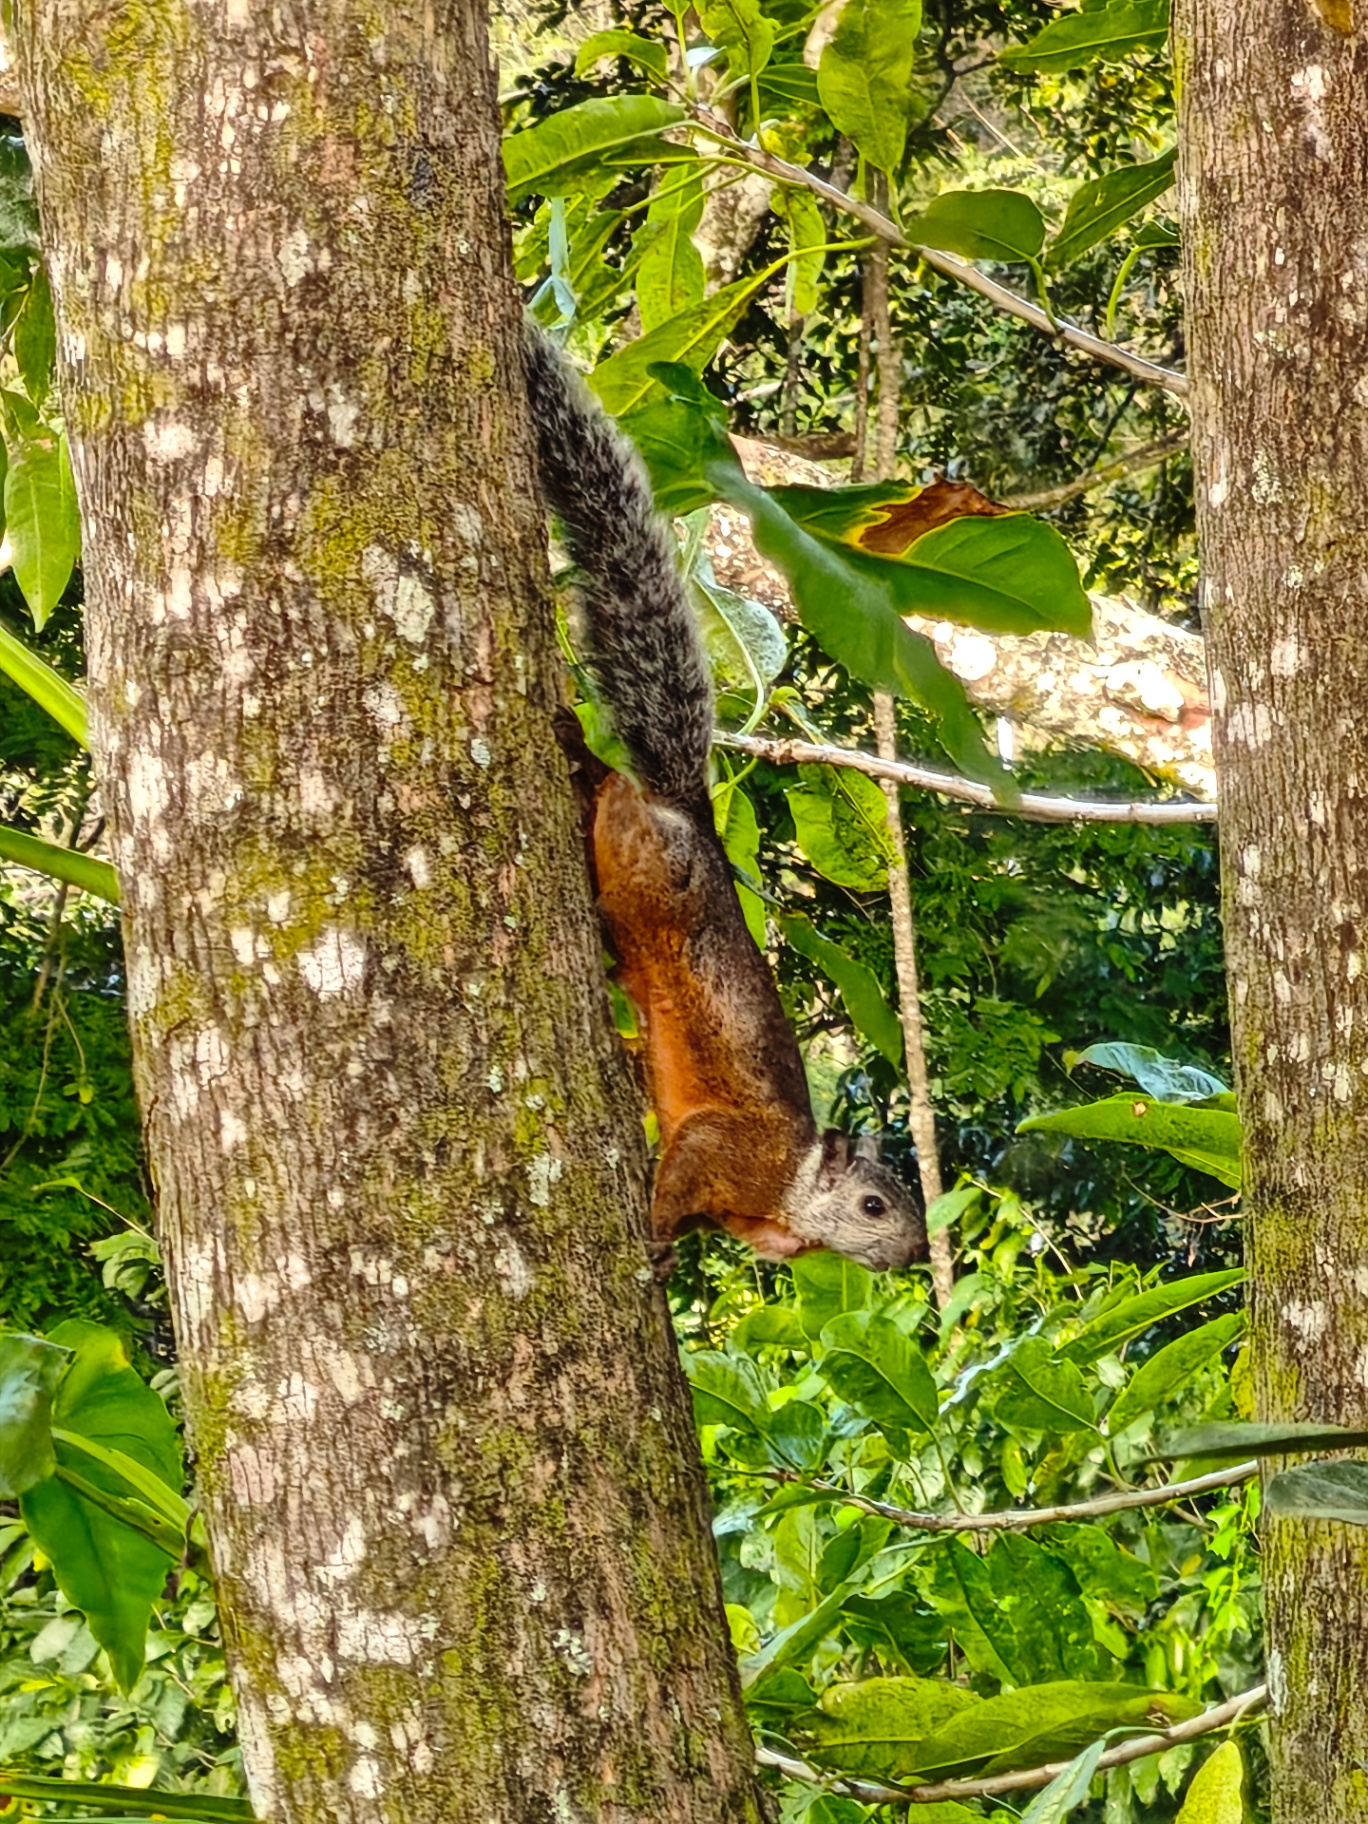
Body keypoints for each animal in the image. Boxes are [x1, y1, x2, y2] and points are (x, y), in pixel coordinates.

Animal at [523, 327, 928, 1275]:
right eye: (872, 1204)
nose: (912, 1256)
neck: (790, 1197)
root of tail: (693, 818)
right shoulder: (728, 1148)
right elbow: (682, 1169)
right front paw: (655, 1241)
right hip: (642, 872)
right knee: (613, 805)